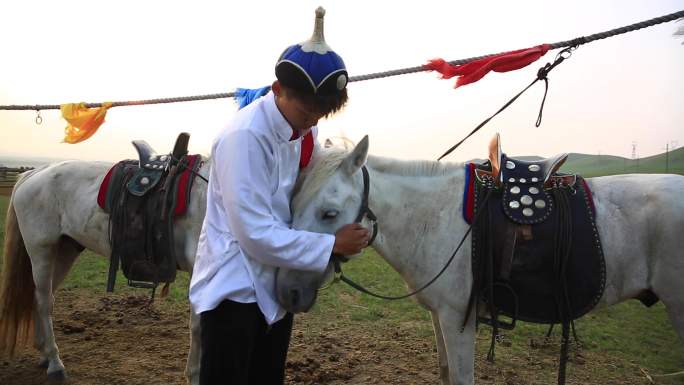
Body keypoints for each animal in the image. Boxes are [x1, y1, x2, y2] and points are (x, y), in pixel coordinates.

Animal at [0, 157, 208, 380]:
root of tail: (34, 173)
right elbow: (198, 325)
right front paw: (195, 374)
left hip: (65, 251)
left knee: (43, 298)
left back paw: (45, 354)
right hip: (41, 250)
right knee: (44, 302)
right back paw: (55, 363)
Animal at [276, 136, 684, 384]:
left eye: (329, 214)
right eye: (291, 202)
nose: (288, 293)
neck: (433, 216)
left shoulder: (459, 318)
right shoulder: (439, 316)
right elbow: (445, 372)